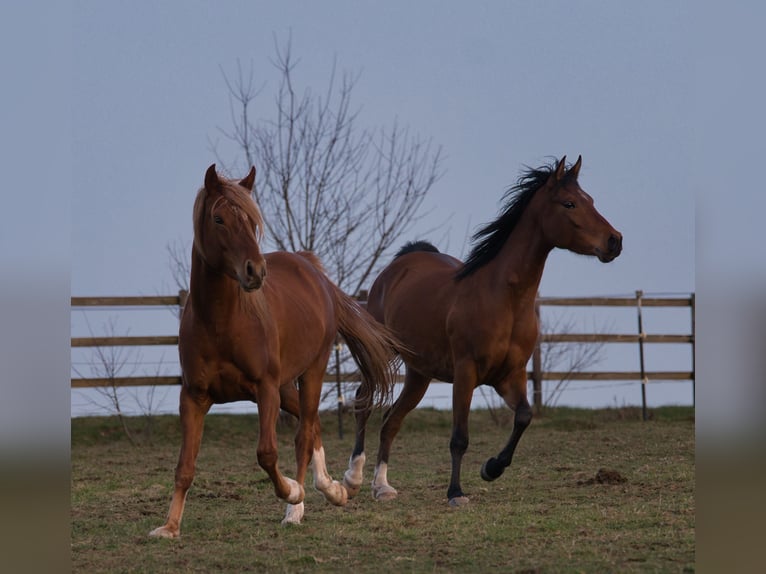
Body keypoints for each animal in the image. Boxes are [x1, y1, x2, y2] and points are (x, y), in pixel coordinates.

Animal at [149, 165, 396, 537]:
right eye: (218, 219)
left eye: (252, 222)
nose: (255, 271)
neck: (222, 321)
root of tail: (312, 272)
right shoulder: (194, 396)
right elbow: (185, 466)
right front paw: (169, 526)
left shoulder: (264, 389)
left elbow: (266, 453)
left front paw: (292, 492)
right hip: (286, 386)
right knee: (313, 426)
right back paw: (334, 489)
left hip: (311, 372)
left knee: (304, 433)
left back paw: (299, 505)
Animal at [343, 155, 622, 507]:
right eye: (569, 203)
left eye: (591, 201)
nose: (615, 241)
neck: (504, 299)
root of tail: (396, 268)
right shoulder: (466, 373)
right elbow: (459, 437)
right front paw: (456, 493)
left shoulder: (510, 375)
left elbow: (524, 416)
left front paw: (492, 468)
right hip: (382, 352)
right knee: (364, 401)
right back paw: (353, 478)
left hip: (419, 373)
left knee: (391, 421)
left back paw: (382, 486)